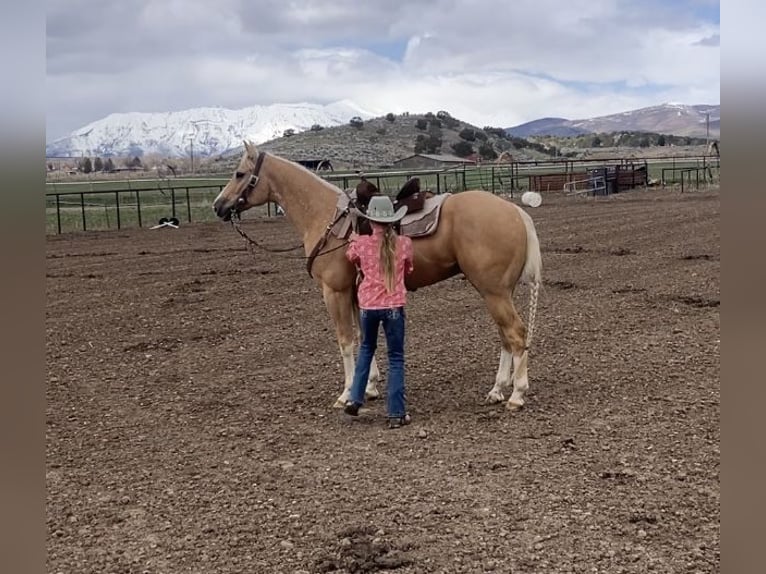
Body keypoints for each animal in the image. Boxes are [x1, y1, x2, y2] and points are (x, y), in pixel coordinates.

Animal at [213, 144, 544, 414]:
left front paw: (346, 394)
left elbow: (346, 340)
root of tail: (515, 211)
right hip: (495, 291)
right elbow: (364, 339)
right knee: (506, 335)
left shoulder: (334, 291)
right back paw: (497, 390)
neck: (325, 215)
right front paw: (369, 387)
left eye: (239, 173)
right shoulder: (355, 292)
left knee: (516, 334)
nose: (218, 206)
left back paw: (517, 395)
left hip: (493, 291)